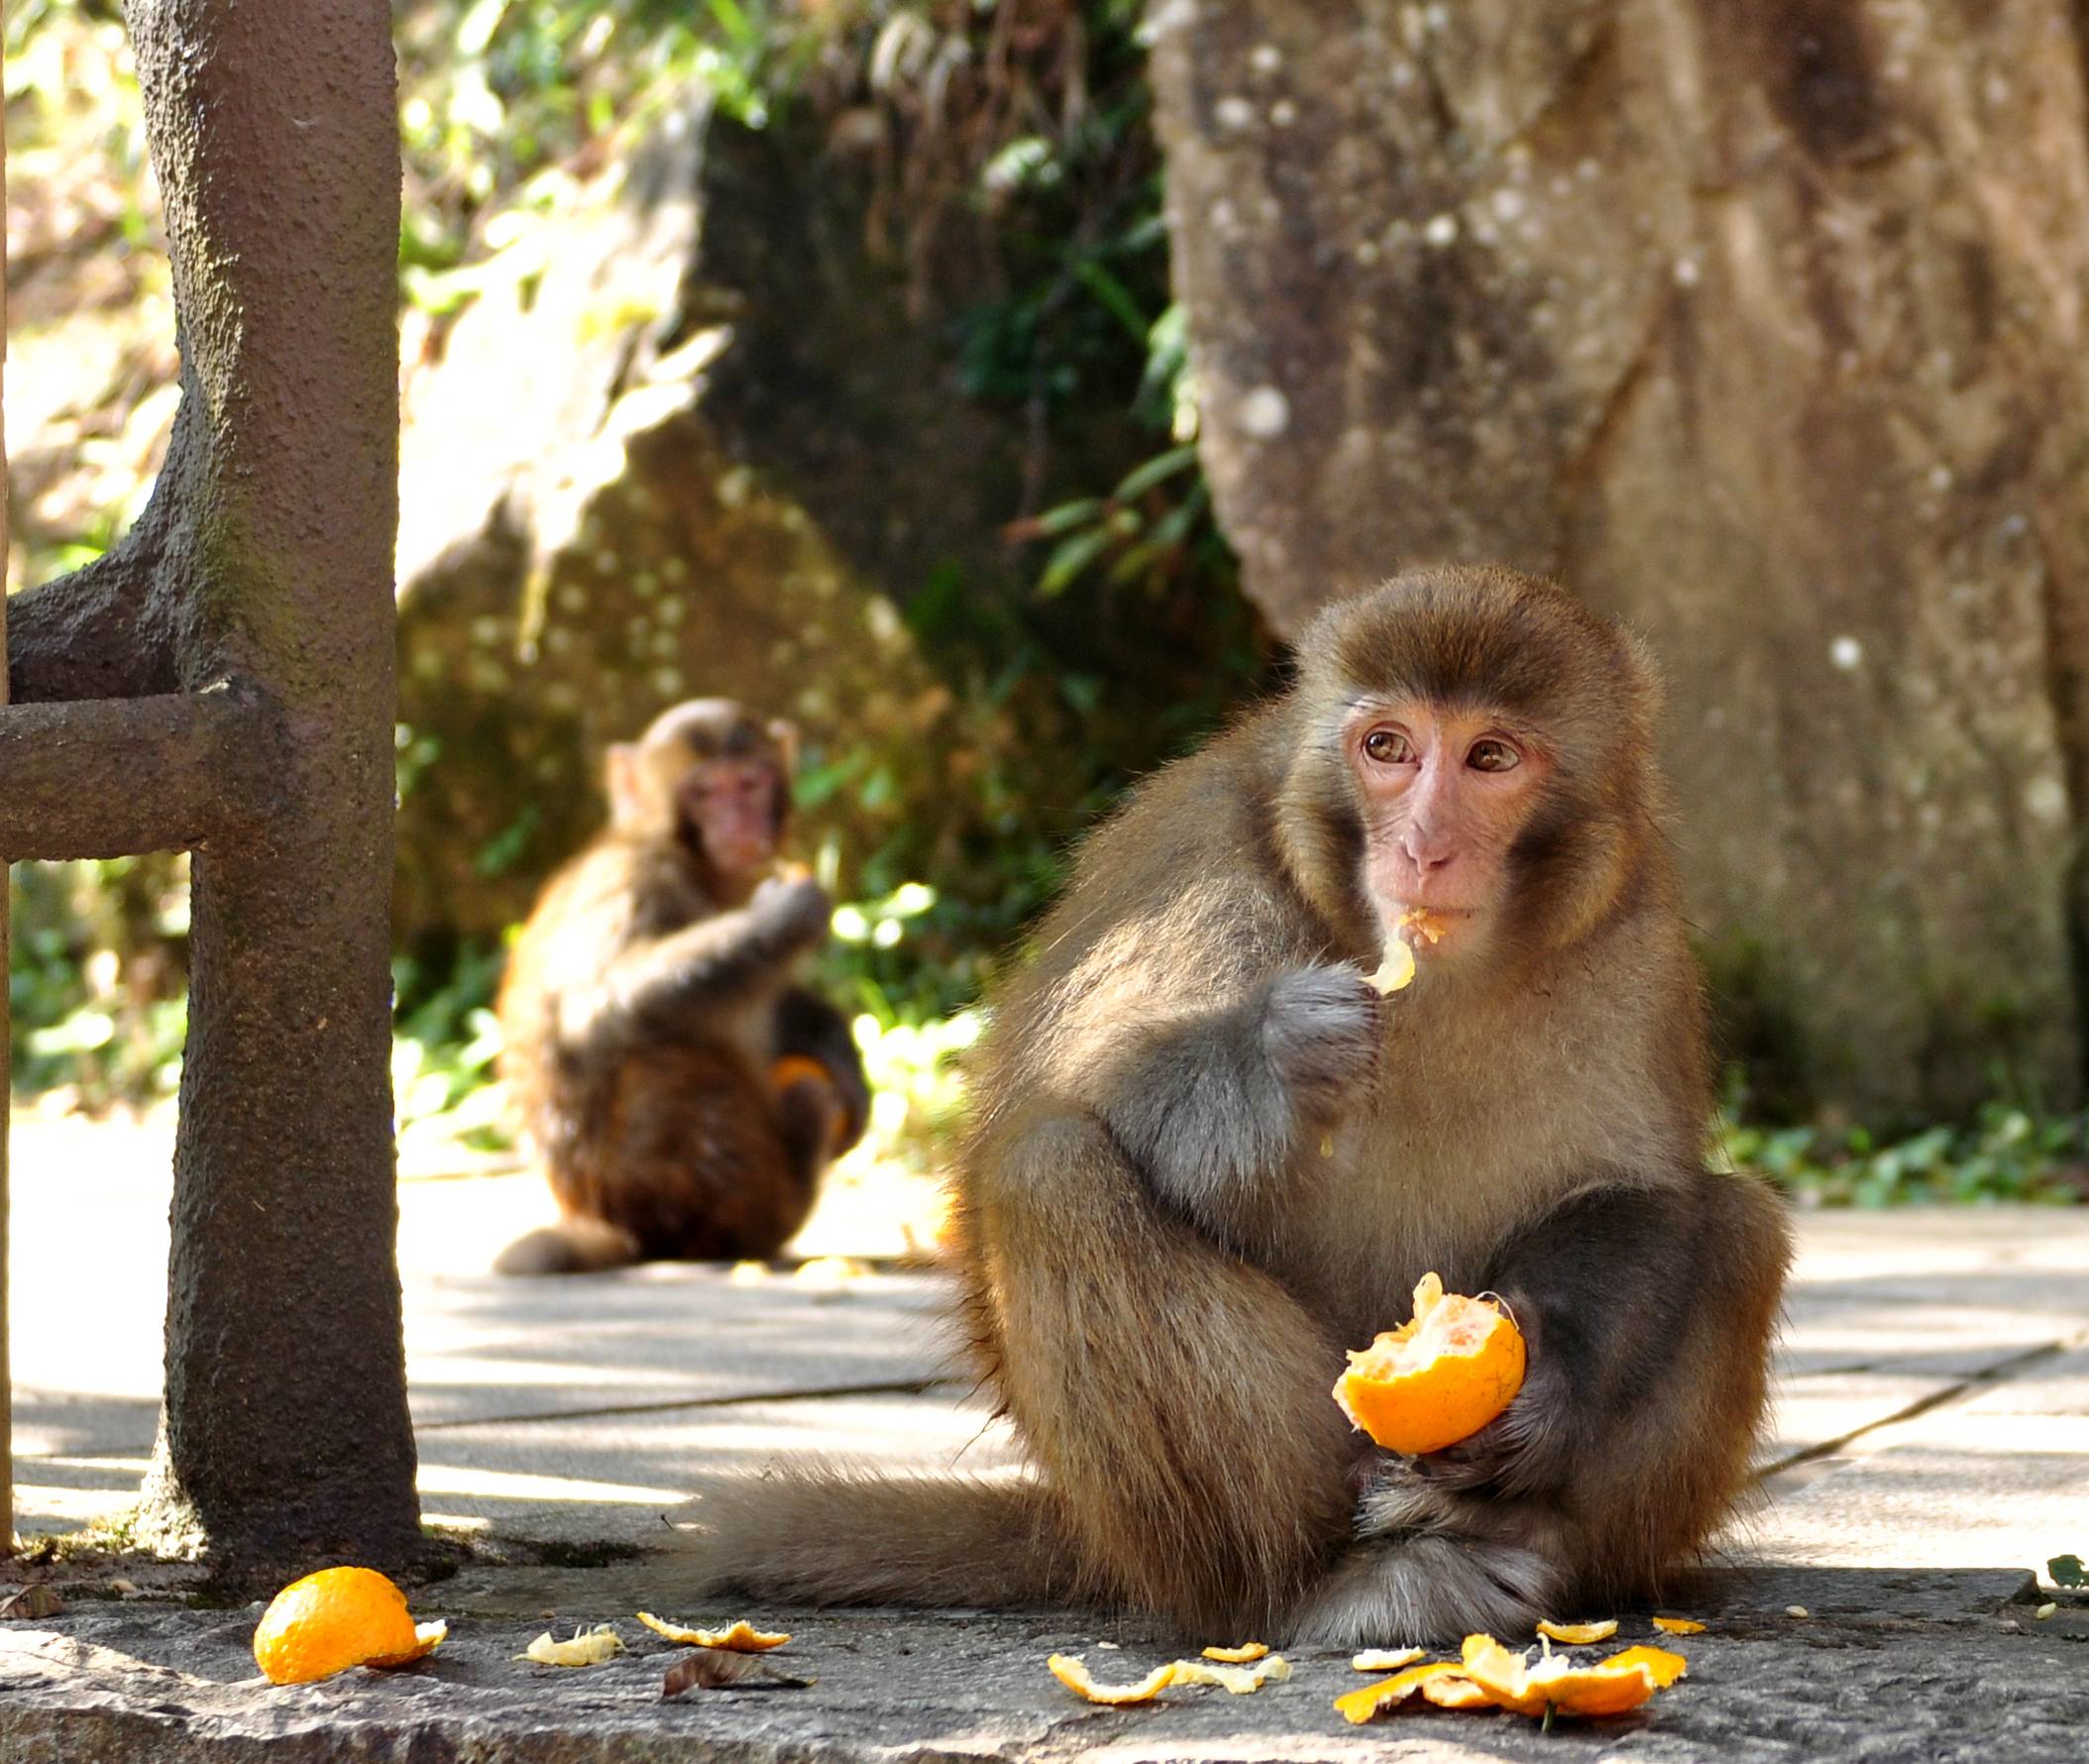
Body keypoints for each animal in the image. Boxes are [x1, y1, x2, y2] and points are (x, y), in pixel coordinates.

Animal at [493, 694, 868, 1270]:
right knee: (658, 1055)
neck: (687, 858)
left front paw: (833, 1039)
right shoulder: (635, 880)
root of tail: (624, 1228)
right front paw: (784, 916)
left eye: (749, 782)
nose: (739, 821)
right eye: (706, 791)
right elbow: (594, 1010)